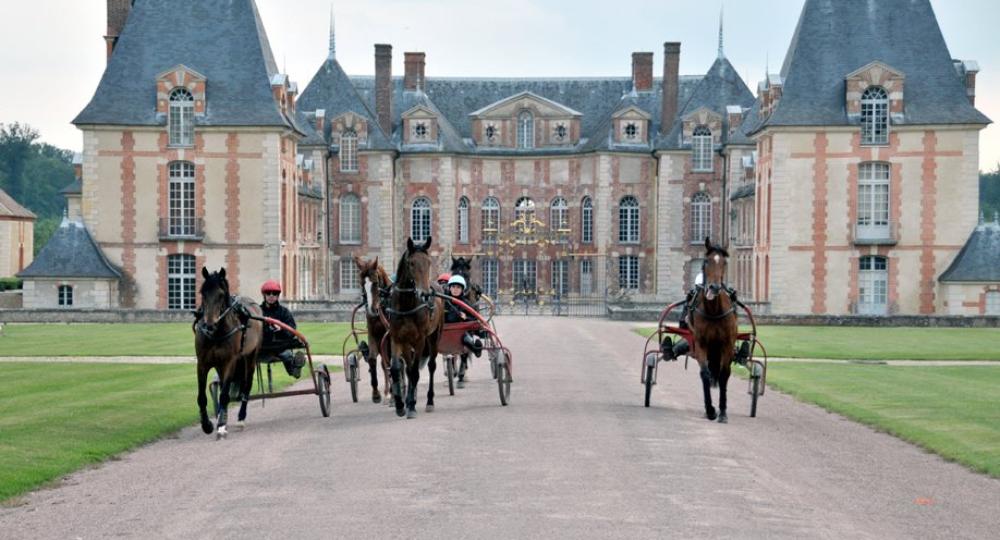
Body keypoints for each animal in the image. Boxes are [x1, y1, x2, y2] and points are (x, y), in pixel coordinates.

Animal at [193, 266, 264, 438]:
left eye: (220, 294)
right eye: (202, 292)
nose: (209, 325)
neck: (216, 334)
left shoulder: (230, 362)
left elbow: (224, 395)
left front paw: (221, 424)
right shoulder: (202, 363)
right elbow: (202, 397)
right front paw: (207, 424)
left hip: (250, 357)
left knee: (246, 386)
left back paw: (240, 417)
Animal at [354, 255, 392, 402]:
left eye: (375, 283)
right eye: (361, 284)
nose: (371, 310)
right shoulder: (373, 334)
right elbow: (372, 360)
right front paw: (376, 393)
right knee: (384, 363)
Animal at [384, 236, 444, 418]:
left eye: (428, 262)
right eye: (411, 263)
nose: (425, 294)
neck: (406, 304)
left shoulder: (420, 340)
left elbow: (416, 372)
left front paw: (410, 406)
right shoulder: (397, 338)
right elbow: (397, 369)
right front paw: (400, 405)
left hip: (434, 337)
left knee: (431, 366)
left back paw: (429, 401)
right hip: (407, 343)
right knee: (409, 368)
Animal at [692, 238, 740, 424]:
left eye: (724, 262)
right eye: (706, 261)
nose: (713, 288)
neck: (713, 311)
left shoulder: (727, 344)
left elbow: (723, 374)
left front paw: (723, 411)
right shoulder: (701, 343)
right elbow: (705, 373)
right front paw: (710, 410)